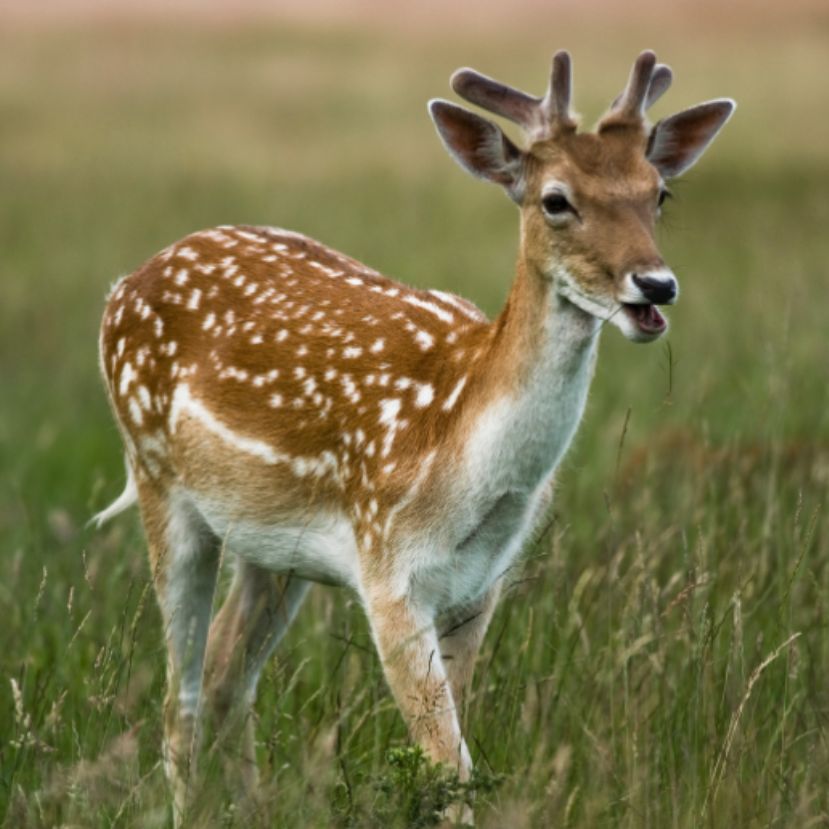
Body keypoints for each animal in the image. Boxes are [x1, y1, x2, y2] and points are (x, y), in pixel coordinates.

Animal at [94, 48, 736, 824]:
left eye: (658, 193)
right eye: (555, 199)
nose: (654, 285)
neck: (462, 456)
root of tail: (122, 286)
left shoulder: (479, 585)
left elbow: (446, 766)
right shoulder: (388, 571)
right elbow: (448, 767)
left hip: (271, 545)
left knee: (225, 673)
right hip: (155, 472)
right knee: (179, 697)